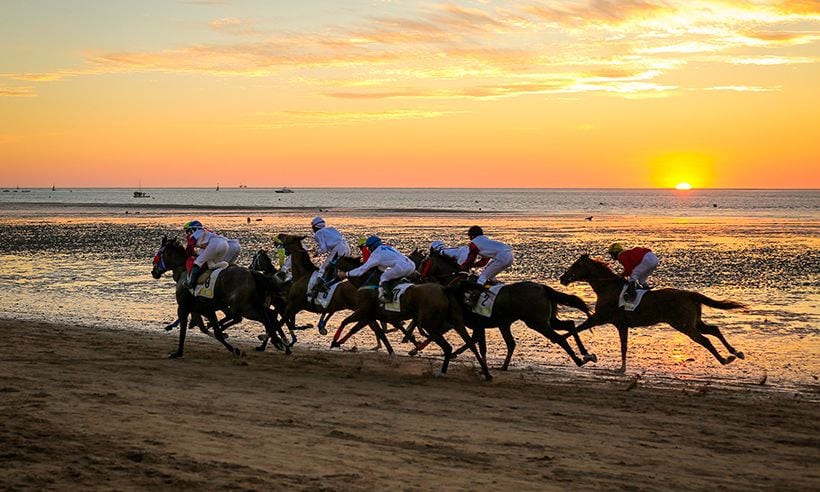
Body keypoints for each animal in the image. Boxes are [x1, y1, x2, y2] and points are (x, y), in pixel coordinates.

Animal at [152, 235, 290, 358]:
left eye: (158, 254)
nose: (153, 272)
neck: (184, 271)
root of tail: (252, 273)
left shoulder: (184, 307)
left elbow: (184, 332)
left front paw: (177, 353)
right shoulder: (203, 309)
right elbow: (212, 331)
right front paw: (233, 347)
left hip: (244, 307)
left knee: (260, 317)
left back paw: (277, 341)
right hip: (251, 305)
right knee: (269, 316)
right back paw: (278, 341)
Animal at [410, 250, 596, 368]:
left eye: (421, 262)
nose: (416, 277)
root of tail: (543, 288)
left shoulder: (463, 321)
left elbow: (445, 335)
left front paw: (416, 347)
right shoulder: (479, 324)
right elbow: (476, 342)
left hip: (536, 322)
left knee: (559, 338)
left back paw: (579, 360)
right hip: (546, 319)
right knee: (569, 325)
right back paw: (586, 354)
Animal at [560, 254, 748, 372]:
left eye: (575, 265)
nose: (562, 278)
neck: (607, 288)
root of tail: (690, 294)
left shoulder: (600, 318)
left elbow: (577, 329)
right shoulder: (621, 325)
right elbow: (624, 345)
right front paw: (621, 368)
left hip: (684, 325)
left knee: (705, 340)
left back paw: (724, 359)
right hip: (694, 322)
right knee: (714, 330)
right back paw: (735, 353)